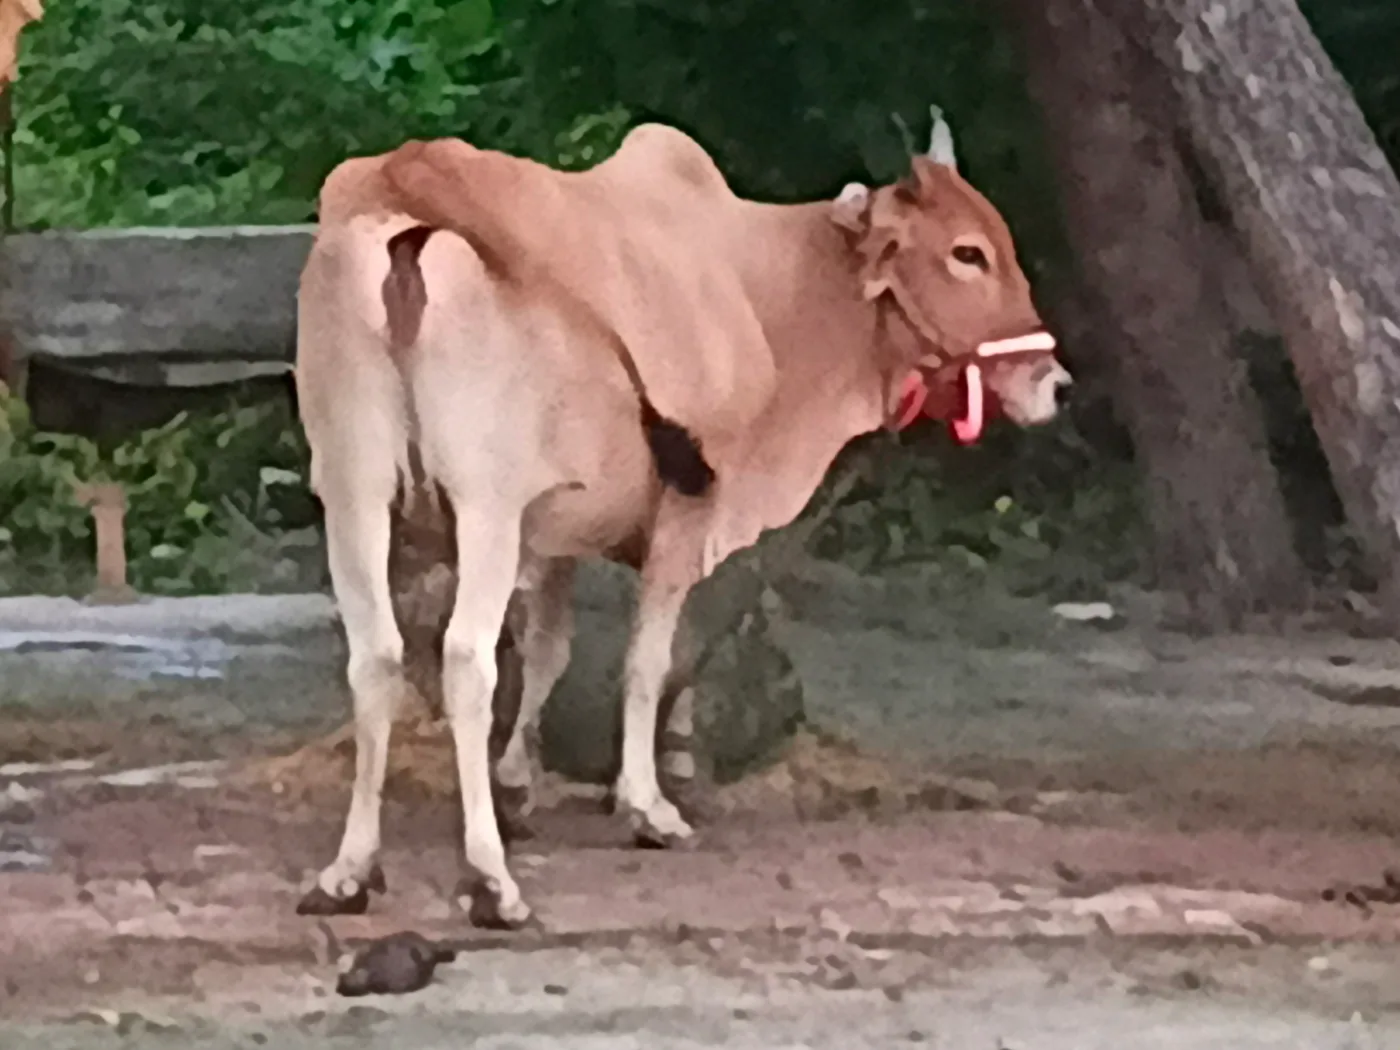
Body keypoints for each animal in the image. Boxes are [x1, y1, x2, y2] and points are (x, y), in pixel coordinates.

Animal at [292, 113, 1070, 929]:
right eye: (967, 252)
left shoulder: (553, 529)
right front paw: (645, 806)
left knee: (375, 657)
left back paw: (349, 871)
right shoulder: (683, 512)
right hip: (482, 506)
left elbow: (549, 651)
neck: (762, 288)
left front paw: (517, 785)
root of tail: (409, 198)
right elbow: (648, 660)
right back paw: (491, 882)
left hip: (353, 490)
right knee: (466, 662)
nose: (1054, 382)